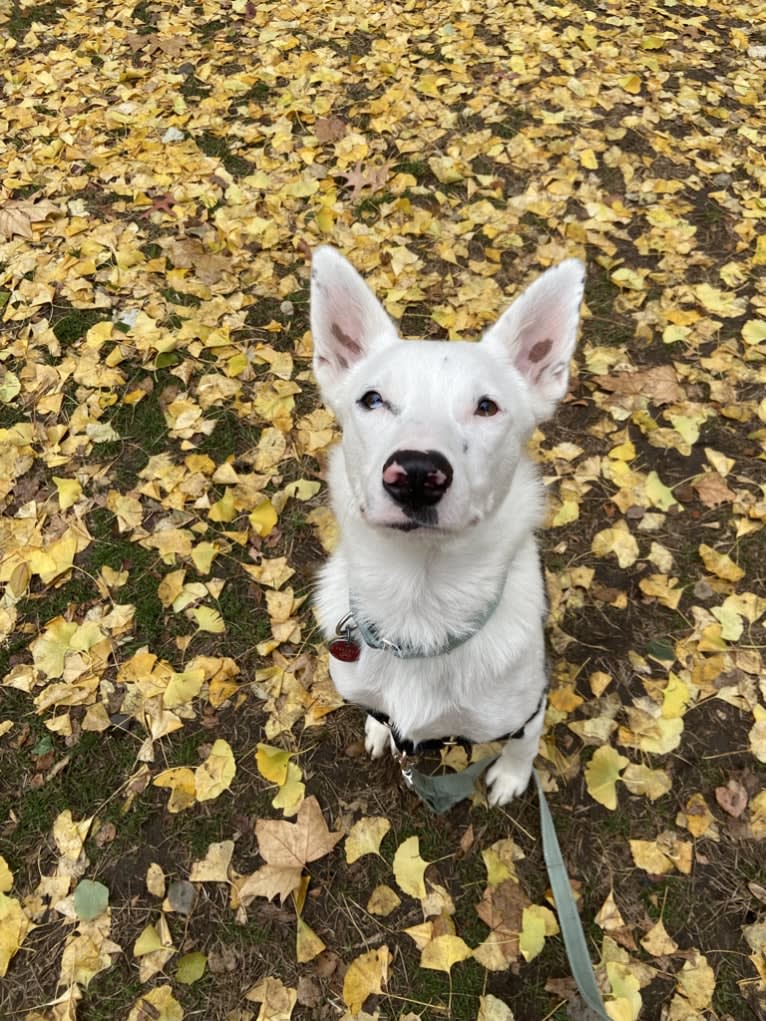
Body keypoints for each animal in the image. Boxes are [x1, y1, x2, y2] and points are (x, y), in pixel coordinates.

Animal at [308, 245, 584, 804]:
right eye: (372, 399)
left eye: (487, 407)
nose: (416, 473)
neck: (420, 606)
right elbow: (381, 715)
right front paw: (378, 729)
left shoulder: (528, 708)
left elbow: (525, 744)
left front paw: (511, 776)